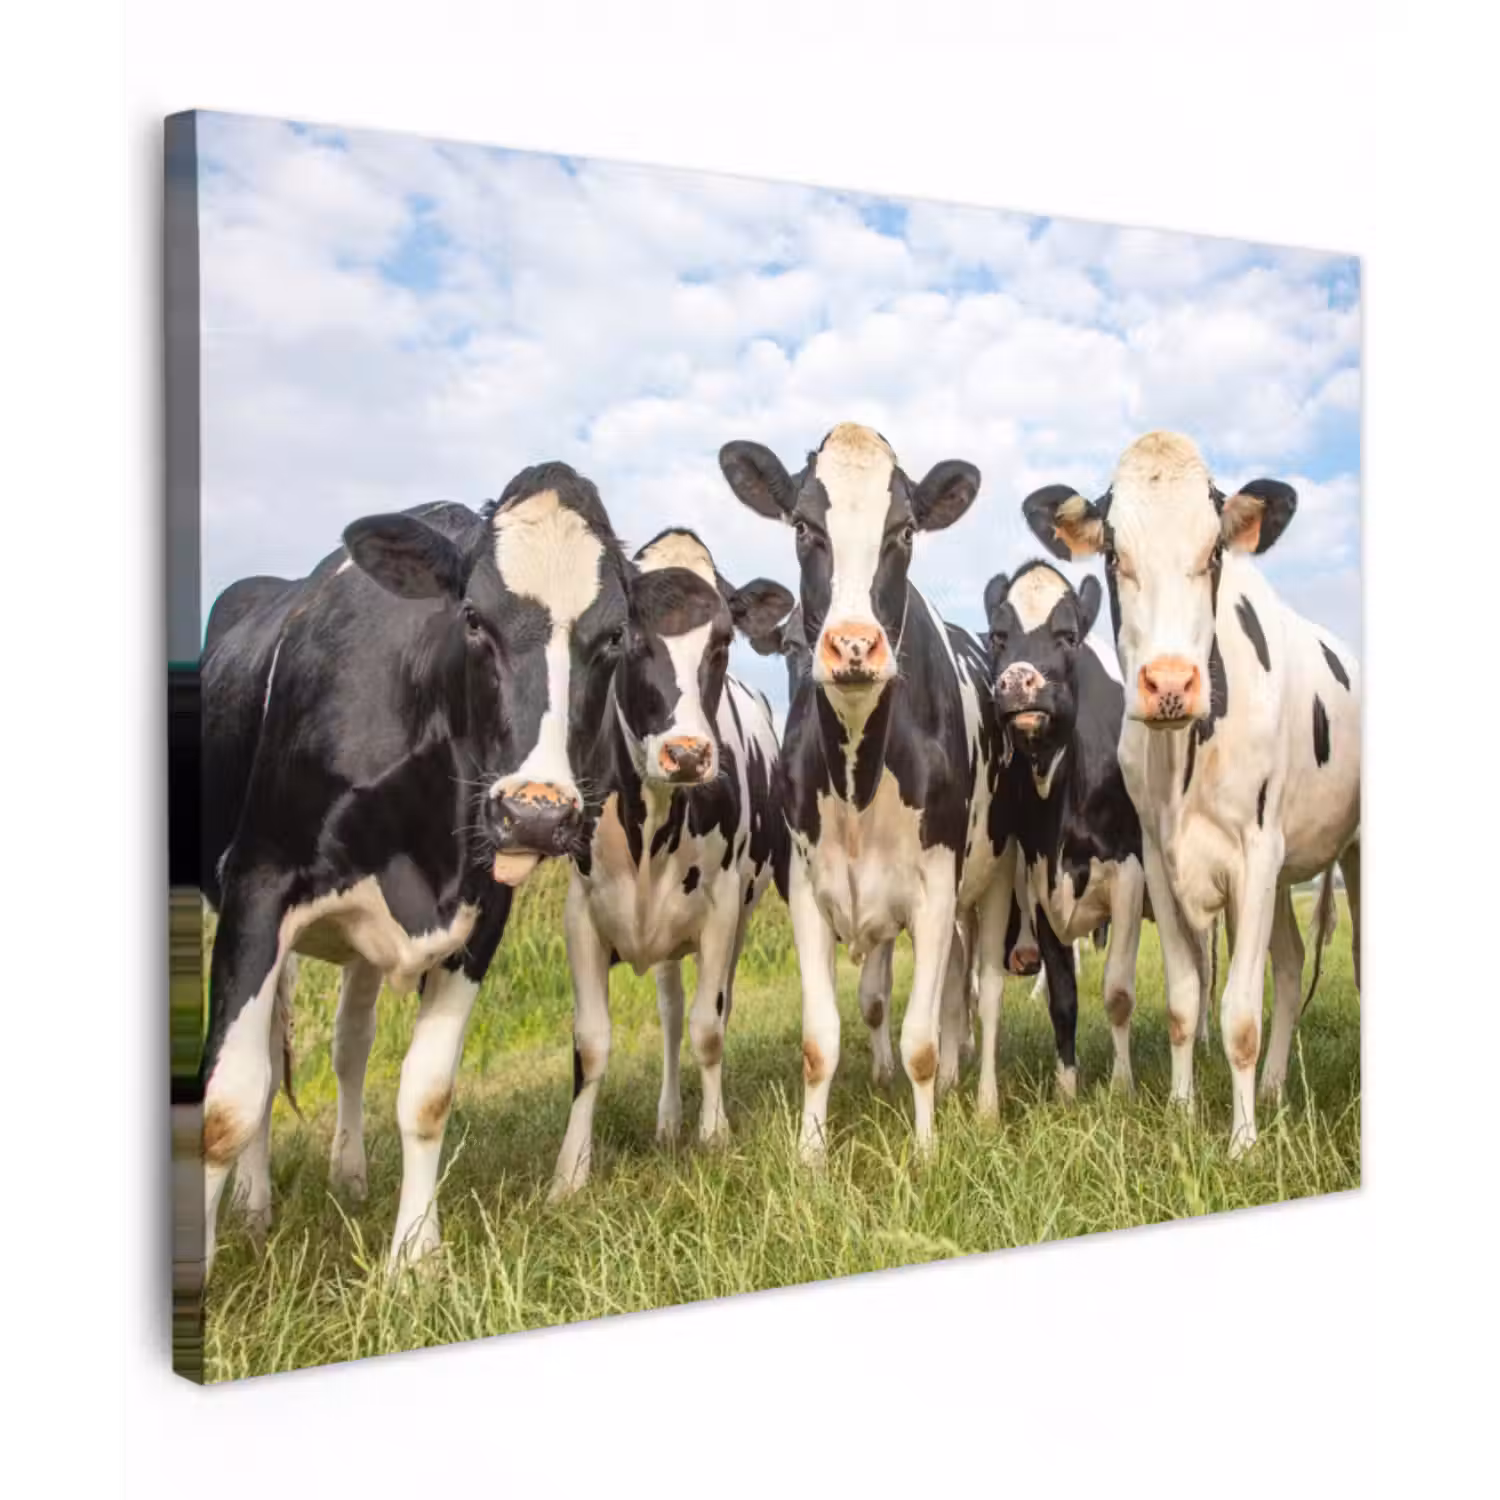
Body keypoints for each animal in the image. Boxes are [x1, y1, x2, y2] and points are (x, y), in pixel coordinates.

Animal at [195, 462, 630, 1274]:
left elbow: (426, 1092)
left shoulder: (481, 912)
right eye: (472, 619)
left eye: (616, 635)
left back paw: (347, 1175)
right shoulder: (257, 885)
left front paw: (413, 1257)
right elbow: (225, 1103)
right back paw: (255, 1204)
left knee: (347, 1045)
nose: (536, 813)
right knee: (265, 1061)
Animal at [548, 529, 793, 1196]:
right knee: (670, 1015)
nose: (686, 754)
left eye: (724, 641)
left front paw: (715, 1134)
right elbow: (592, 1043)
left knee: (711, 1009)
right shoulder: (581, 912)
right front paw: (570, 1171)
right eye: (625, 637)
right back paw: (666, 1119)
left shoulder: (722, 906)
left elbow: (711, 1027)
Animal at [718, 422, 1016, 1158]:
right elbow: (821, 1039)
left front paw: (928, 1150)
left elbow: (922, 1042)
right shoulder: (806, 886)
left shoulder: (937, 887)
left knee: (988, 990)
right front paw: (810, 1154)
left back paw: (984, 1102)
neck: (857, 773)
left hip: (997, 876)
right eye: (803, 526)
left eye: (903, 530)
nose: (854, 646)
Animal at [1022, 430, 1361, 1153]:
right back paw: (1274, 1086)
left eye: (1214, 554)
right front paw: (1181, 1113)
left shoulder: (1255, 853)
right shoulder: (1158, 855)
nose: (1171, 683)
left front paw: (1243, 1143)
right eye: (1115, 554)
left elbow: (1238, 1013)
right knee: (1290, 966)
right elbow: (1184, 997)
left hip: (1344, 853)